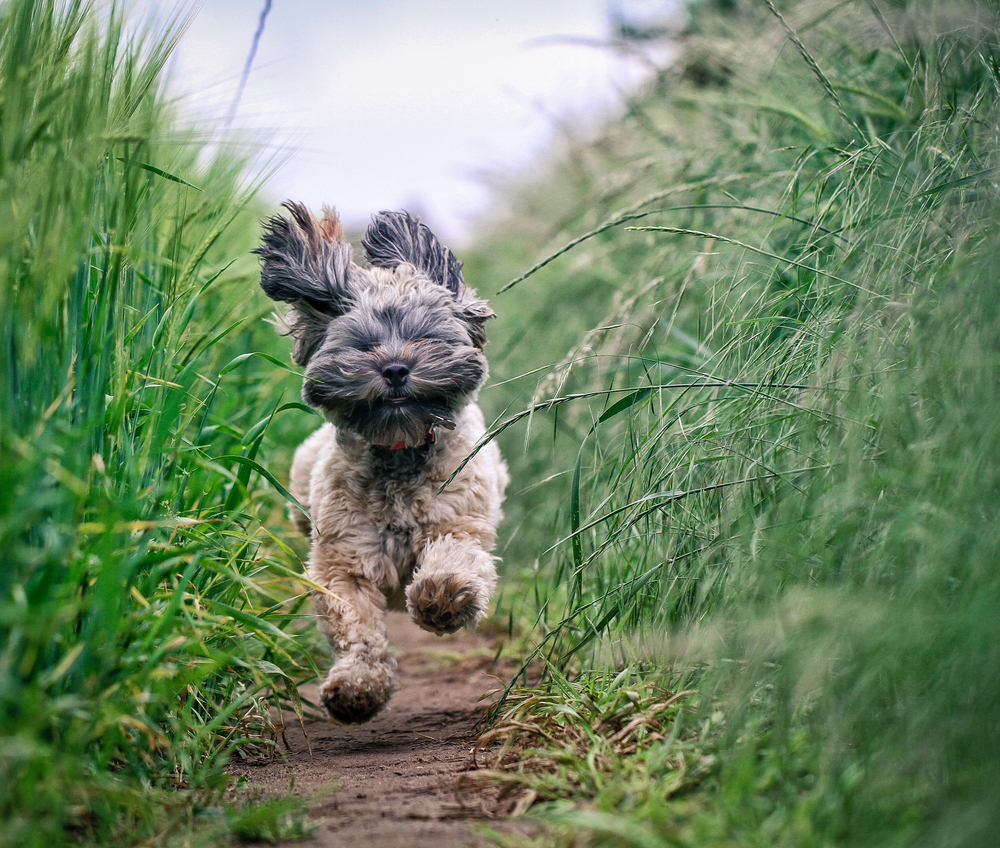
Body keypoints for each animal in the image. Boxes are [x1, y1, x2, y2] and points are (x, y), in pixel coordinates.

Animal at [256, 204, 508, 724]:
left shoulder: (461, 522)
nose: (394, 369)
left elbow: (457, 558)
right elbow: (355, 624)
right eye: (362, 344)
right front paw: (358, 686)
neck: (400, 451)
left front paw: (441, 599)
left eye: (424, 337)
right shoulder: (345, 558)